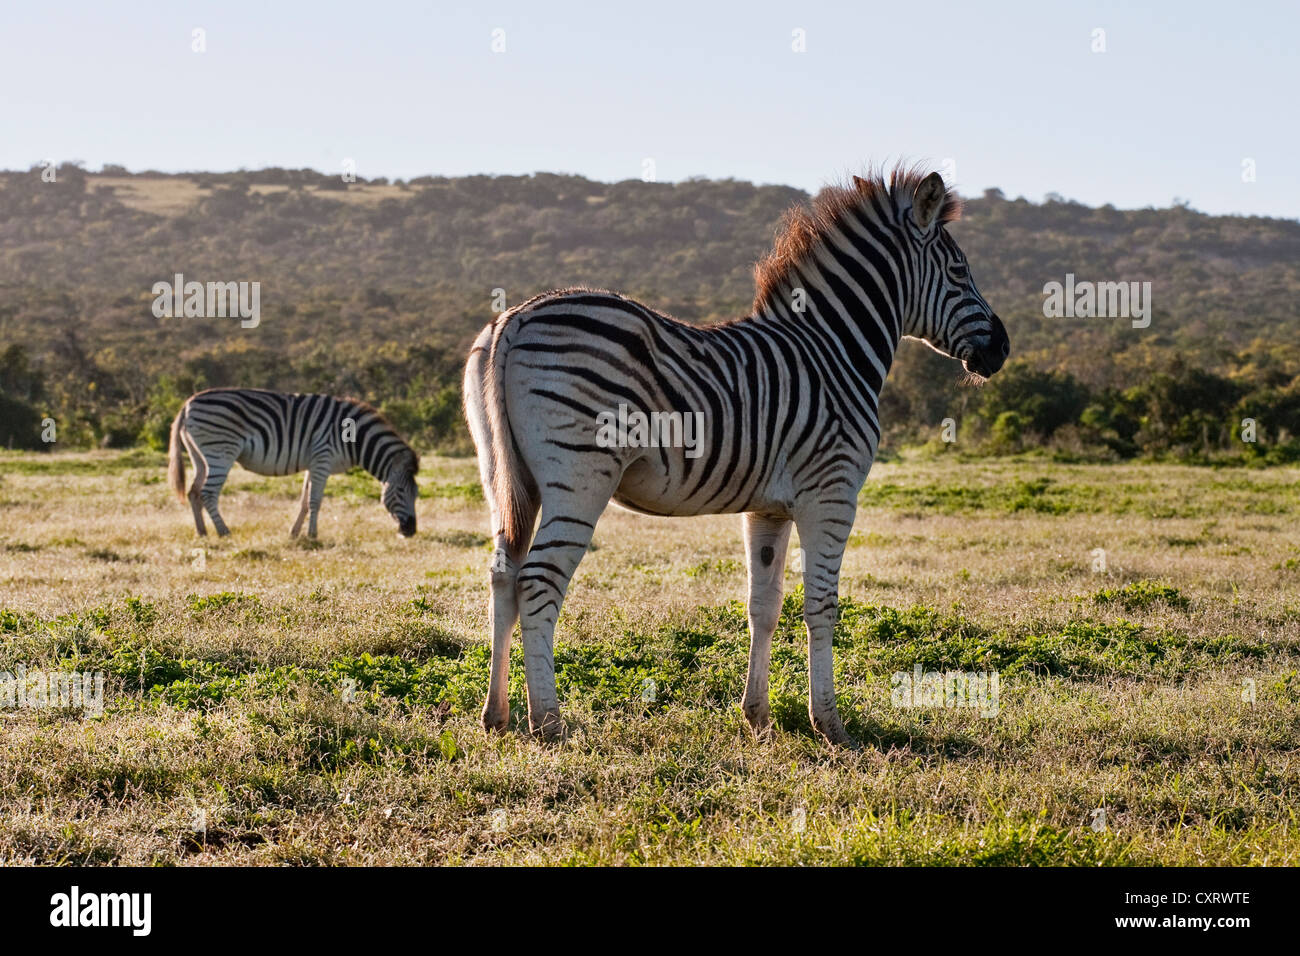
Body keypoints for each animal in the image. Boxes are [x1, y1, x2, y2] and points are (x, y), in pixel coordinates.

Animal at [168, 388, 420, 538]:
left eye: (416, 494)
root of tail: (187, 404)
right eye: (400, 491)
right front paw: (312, 535)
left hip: (200, 456)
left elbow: (304, 502)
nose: (411, 530)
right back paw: (224, 531)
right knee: (208, 493)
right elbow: (315, 501)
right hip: (221, 450)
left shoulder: (313, 463)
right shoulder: (323, 458)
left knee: (193, 492)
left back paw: (202, 532)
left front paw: (294, 533)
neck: (354, 438)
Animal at [463, 167, 1009, 744]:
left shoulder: (767, 508)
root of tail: (514, 319)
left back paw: (496, 716)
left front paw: (758, 717)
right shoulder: (832, 495)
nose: (1002, 348)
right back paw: (548, 720)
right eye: (959, 271)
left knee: (503, 575)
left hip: (506, 477)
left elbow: (763, 606)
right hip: (580, 477)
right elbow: (822, 606)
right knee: (538, 581)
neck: (835, 352)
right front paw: (829, 724)